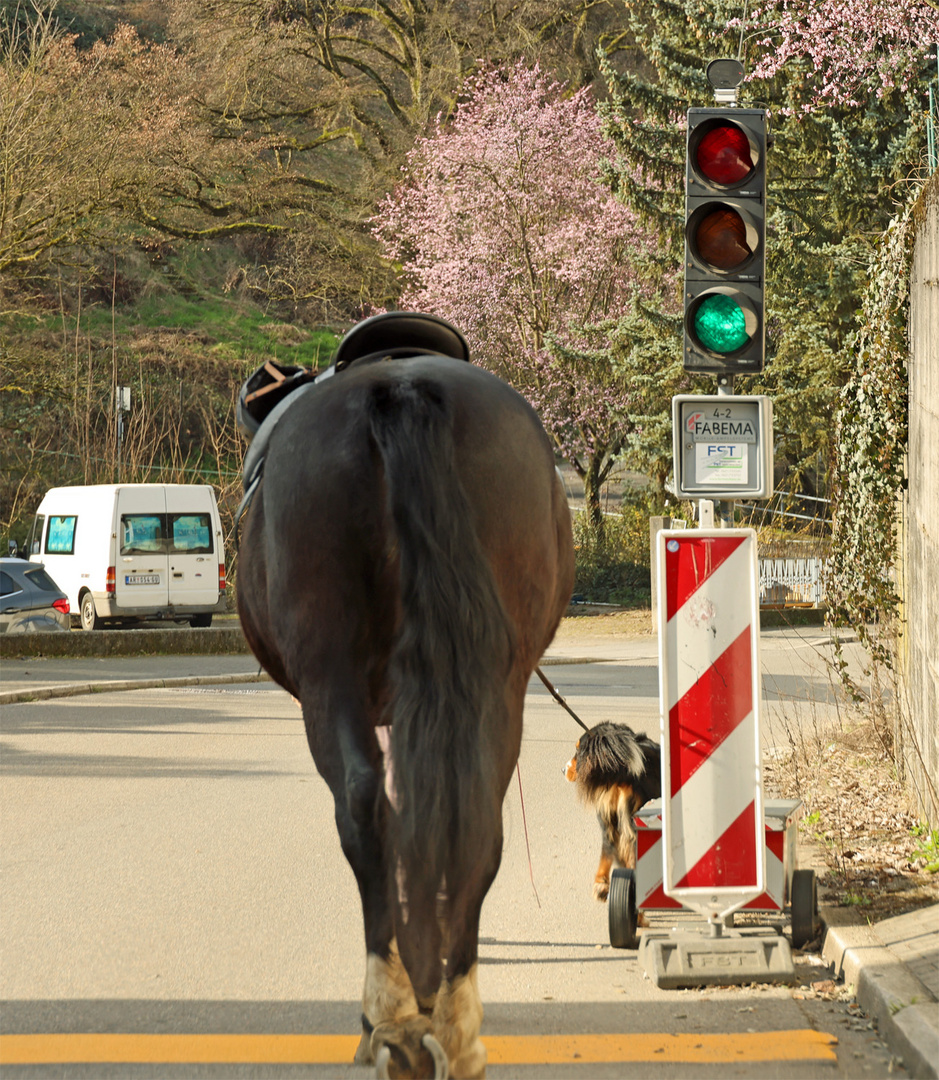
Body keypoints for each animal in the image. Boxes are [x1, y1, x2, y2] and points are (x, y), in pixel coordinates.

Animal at [234, 315, 574, 1080]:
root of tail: (404, 386)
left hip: (327, 674)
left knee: (363, 805)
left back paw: (390, 1018)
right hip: (495, 685)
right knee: (472, 820)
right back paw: (451, 1020)